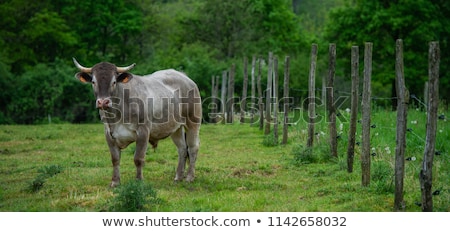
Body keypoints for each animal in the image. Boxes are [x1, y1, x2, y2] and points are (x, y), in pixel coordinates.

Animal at [72, 58, 202, 187]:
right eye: (93, 82)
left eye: (114, 82)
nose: (103, 102)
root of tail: (184, 77)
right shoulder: (109, 133)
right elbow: (115, 159)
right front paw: (115, 182)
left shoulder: (143, 132)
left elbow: (138, 158)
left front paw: (139, 181)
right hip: (176, 127)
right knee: (182, 149)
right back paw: (178, 177)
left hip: (193, 122)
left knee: (193, 148)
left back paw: (189, 177)